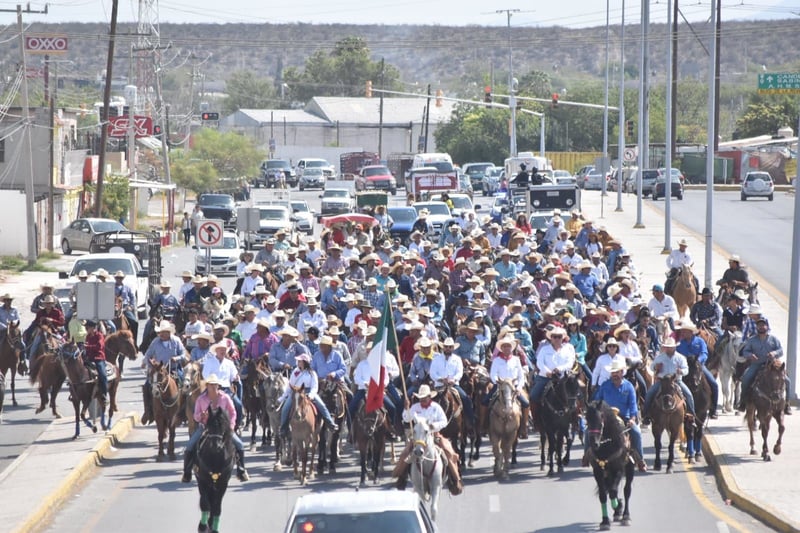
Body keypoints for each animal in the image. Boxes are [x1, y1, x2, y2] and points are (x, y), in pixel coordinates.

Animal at [584, 400, 636, 528]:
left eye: (601, 417)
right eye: (586, 418)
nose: (594, 443)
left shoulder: (619, 469)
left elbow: (613, 492)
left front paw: (619, 506)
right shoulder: (598, 471)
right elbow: (603, 495)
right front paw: (605, 521)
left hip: (629, 468)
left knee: (627, 490)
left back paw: (625, 516)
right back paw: (617, 512)